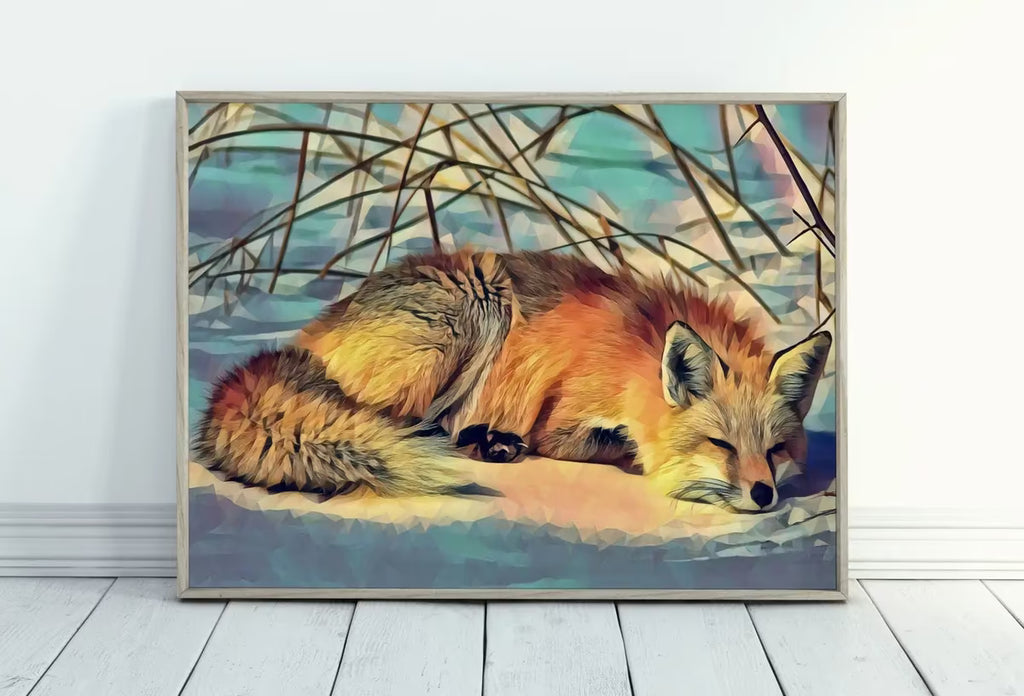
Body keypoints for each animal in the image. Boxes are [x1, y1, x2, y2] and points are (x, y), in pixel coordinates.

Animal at [195, 248, 831, 512]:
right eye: (721, 445)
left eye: (775, 450)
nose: (763, 495)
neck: (636, 357)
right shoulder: (562, 418)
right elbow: (611, 447)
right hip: (474, 312)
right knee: (394, 422)